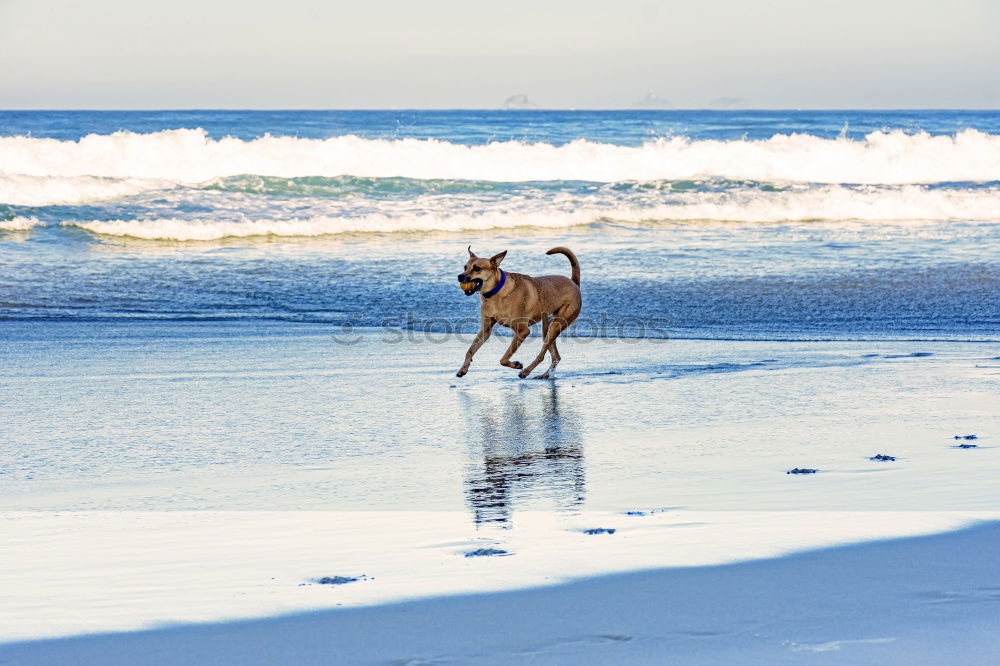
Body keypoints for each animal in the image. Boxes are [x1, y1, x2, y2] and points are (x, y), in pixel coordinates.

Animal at [458, 245, 584, 378]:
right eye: (465, 267)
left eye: (477, 268)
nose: (459, 276)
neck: (497, 292)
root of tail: (574, 283)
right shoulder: (485, 330)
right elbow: (470, 350)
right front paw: (463, 369)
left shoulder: (523, 331)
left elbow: (504, 358)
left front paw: (516, 364)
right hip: (547, 327)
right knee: (556, 356)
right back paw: (545, 375)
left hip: (556, 325)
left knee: (542, 355)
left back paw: (526, 371)